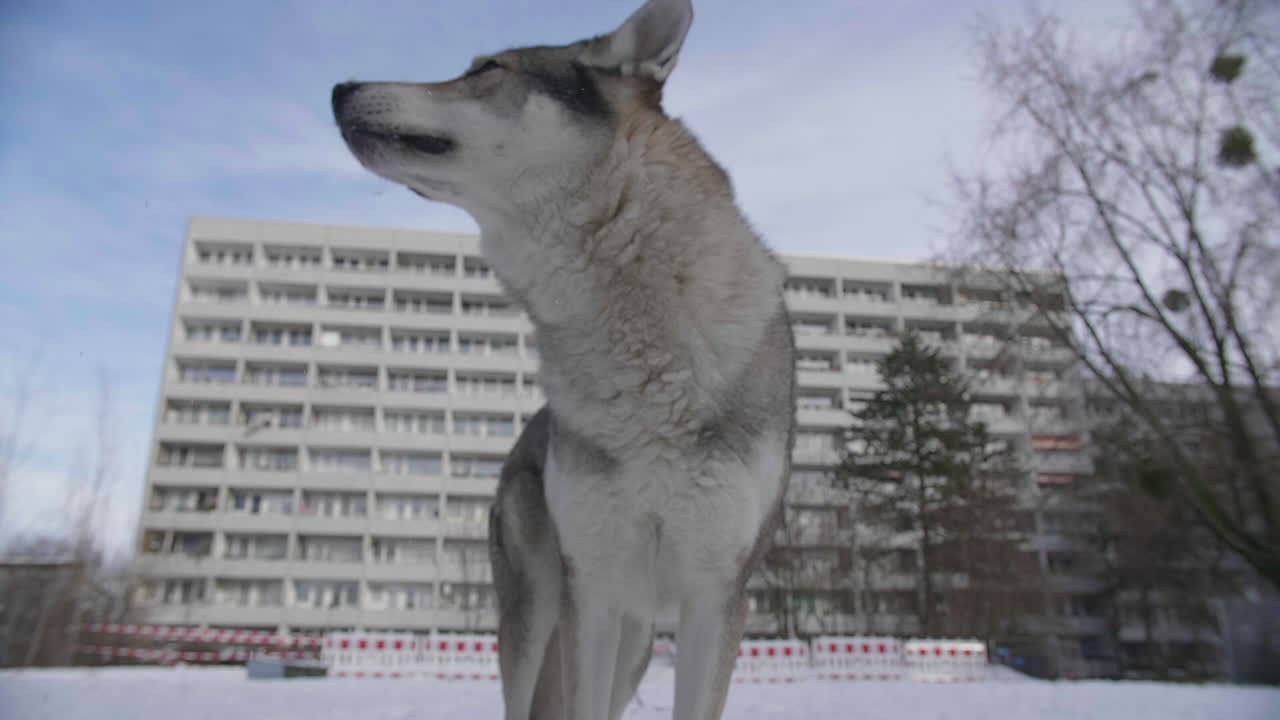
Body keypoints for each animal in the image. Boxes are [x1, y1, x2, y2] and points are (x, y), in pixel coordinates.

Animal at [332, 1, 795, 718]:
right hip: (537, 616)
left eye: (487, 69)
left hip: (634, 643)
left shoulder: (715, 598)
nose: (339, 88)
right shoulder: (591, 592)